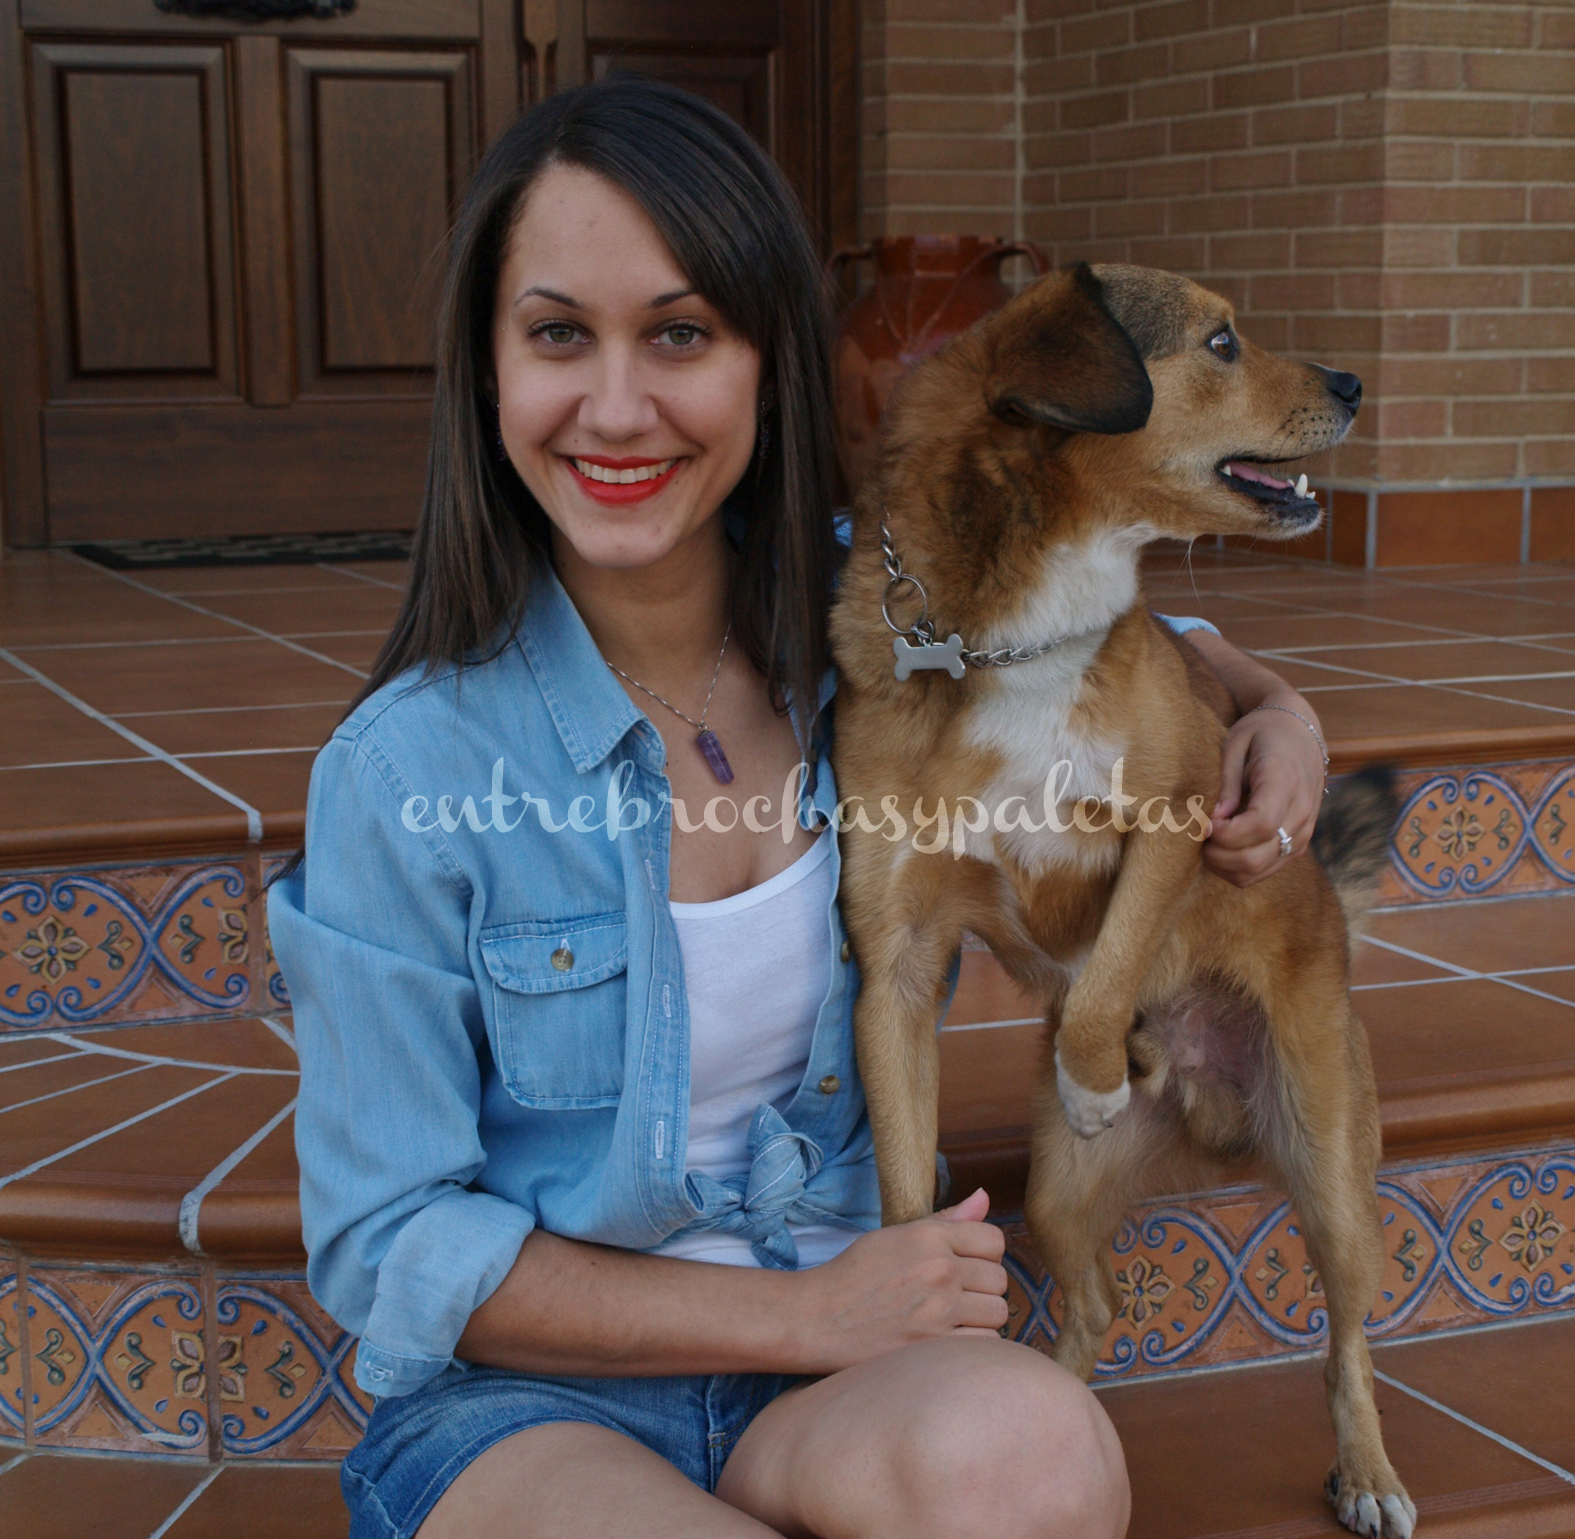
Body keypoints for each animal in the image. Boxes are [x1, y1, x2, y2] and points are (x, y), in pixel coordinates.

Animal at [837, 267, 1417, 1537]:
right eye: (1220, 341)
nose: (1357, 380)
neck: (1013, 642)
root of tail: (1204, 1088)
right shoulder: (895, 960)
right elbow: (903, 1190)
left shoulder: (1181, 817)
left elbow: (1106, 977)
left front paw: (1099, 1072)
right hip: (1060, 1193)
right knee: (1097, 1307)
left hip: (1332, 1168)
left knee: (1350, 1340)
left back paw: (1370, 1473)